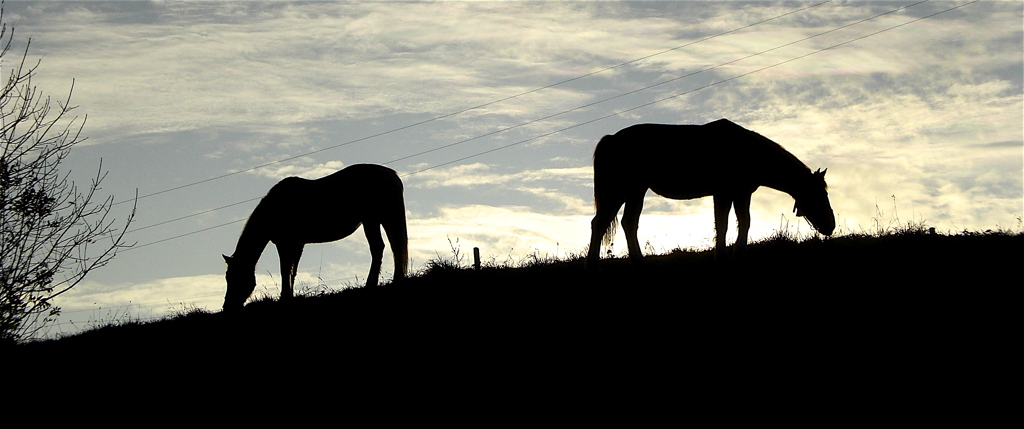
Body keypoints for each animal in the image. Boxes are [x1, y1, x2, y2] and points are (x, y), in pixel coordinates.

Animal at [223, 162, 407, 311]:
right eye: (227, 277)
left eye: (234, 277)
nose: (227, 307)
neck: (275, 208)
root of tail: (391, 174)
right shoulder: (297, 244)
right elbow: (293, 271)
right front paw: (290, 295)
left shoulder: (284, 244)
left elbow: (285, 270)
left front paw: (284, 297)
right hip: (382, 219)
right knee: (394, 247)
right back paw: (395, 279)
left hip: (372, 219)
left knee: (379, 247)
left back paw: (371, 284)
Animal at [589, 118, 835, 268]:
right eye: (819, 195)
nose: (830, 227)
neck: (748, 151)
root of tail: (610, 138)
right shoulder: (723, 194)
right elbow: (723, 224)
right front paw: (722, 257)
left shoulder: (741, 194)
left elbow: (744, 222)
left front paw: (740, 256)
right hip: (620, 191)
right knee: (601, 223)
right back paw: (593, 264)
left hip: (635, 192)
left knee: (628, 223)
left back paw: (638, 262)